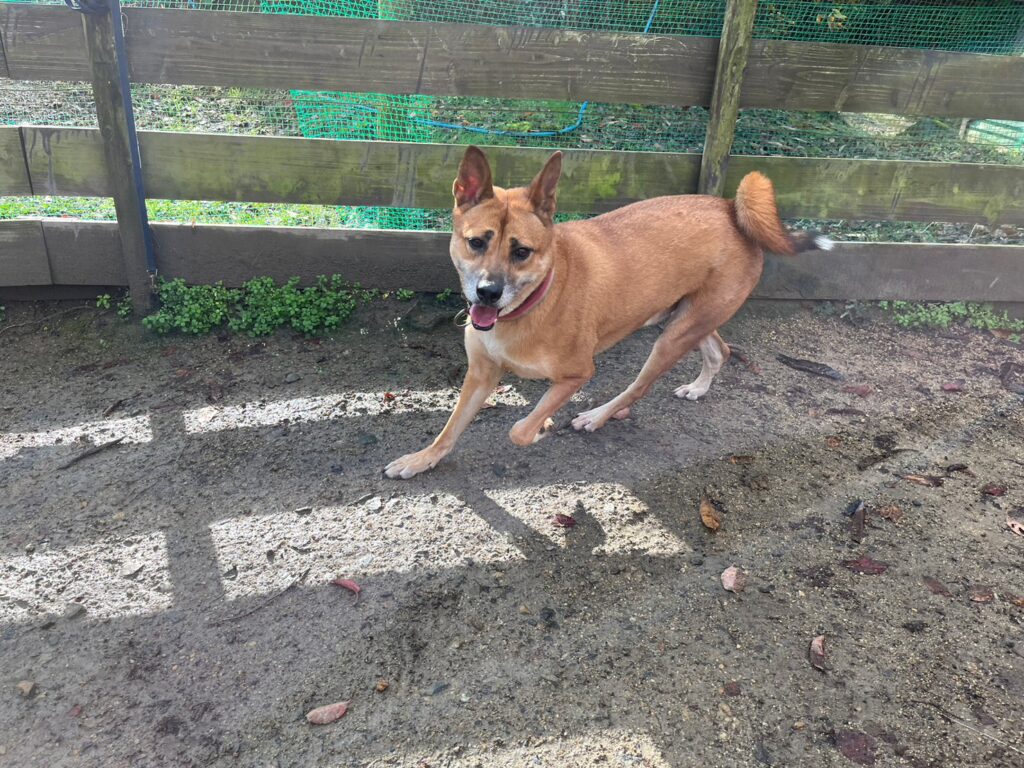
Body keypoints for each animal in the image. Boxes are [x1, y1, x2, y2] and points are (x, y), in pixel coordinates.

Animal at [385, 146, 832, 479]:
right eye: (476, 242)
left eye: (521, 252)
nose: (487, 293)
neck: (529, 305)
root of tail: (731, 210)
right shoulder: (480, 373)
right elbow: (450, 428)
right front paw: (422, 459)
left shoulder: (577, 374)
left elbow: (519, 430)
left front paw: (542, 427)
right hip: (689, 316)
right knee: (719, 350)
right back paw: (698, 387)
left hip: (671, 338)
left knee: (638, 387)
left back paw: (598, 416)